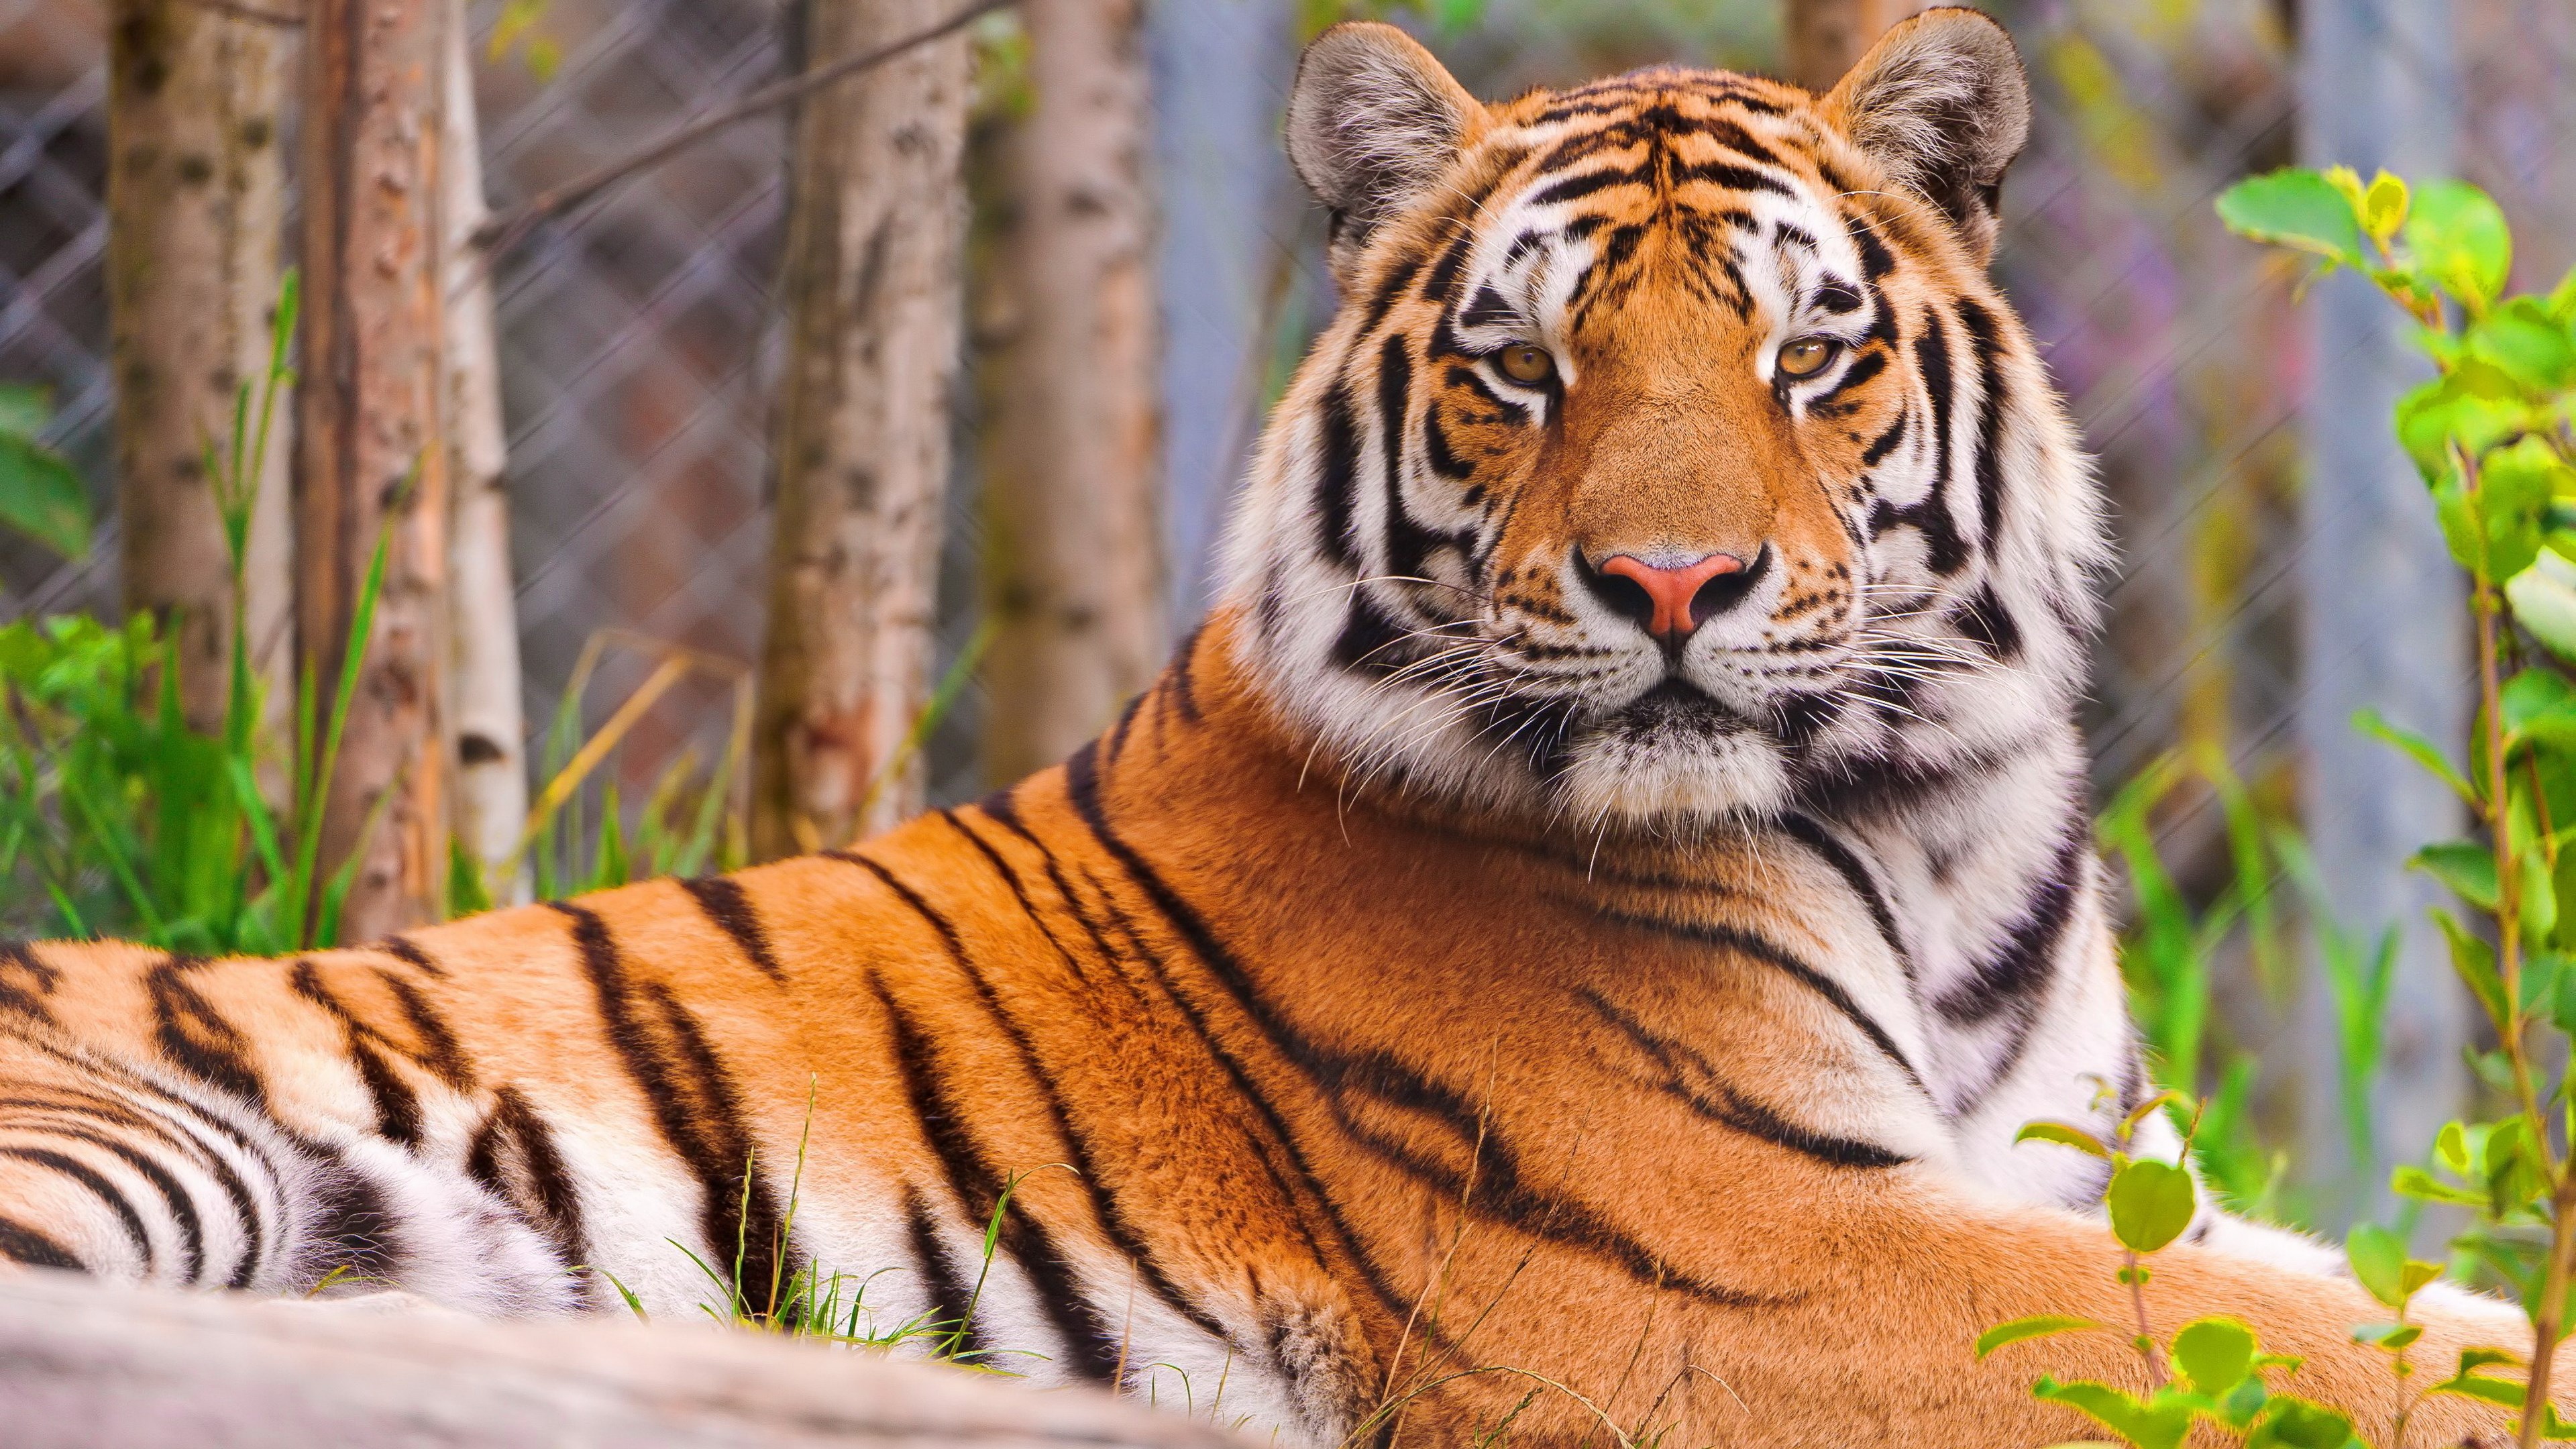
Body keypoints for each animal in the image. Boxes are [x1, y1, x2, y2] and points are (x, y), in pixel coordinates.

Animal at [0, 10, 2534, 1446]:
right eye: (1523, 364)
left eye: (1805, 356)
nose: (1673, 590)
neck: (1932, 824)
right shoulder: (1738, 1260)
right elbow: (2355, 1357)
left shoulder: (2077, 1175)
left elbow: (2380, 1297)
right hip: (156, 1147)